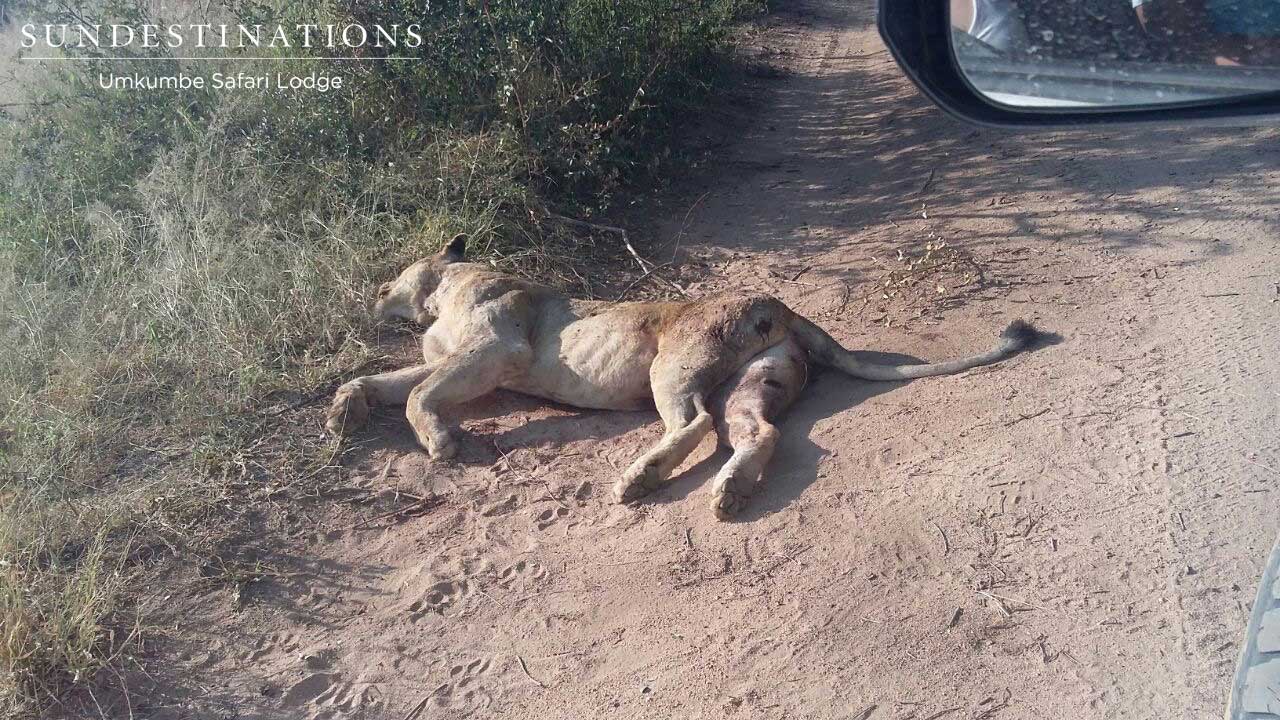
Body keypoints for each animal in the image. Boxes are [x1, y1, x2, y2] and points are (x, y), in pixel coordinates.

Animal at [326, 234, 1040, 519]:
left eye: (392, 278)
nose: (372, 295)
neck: (445, 290)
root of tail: (782, 307)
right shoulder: (468, 363)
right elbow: (390, 380)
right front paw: (344, 410)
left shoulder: (498, 352)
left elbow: (418, 391)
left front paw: (440, 442)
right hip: (753, 383)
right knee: (756, 435)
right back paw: (730, 492)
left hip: (673, 366)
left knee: (693, 424)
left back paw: (638, 480)